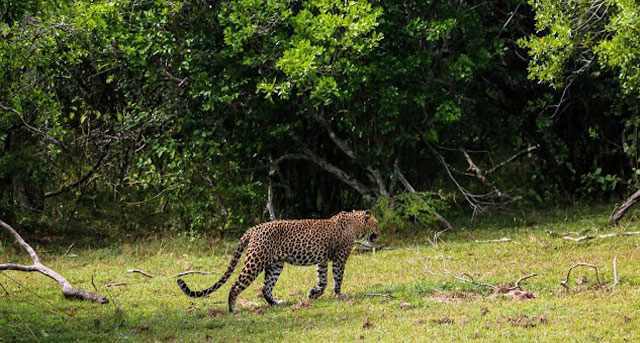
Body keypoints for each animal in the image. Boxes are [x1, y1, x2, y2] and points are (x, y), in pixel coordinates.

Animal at [176, 211, 380, 314]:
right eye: (376, 224)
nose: (379, 233)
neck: (356, 224)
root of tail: (254, 228)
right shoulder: (339, 257)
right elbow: (338, 277)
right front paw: (339, 295)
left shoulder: (322, 260)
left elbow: (322, 281)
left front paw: (313, 293)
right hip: (255, 261)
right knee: (236, 285)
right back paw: (233, 309)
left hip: (275, 265)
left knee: (265, 287)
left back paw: (277, 303)